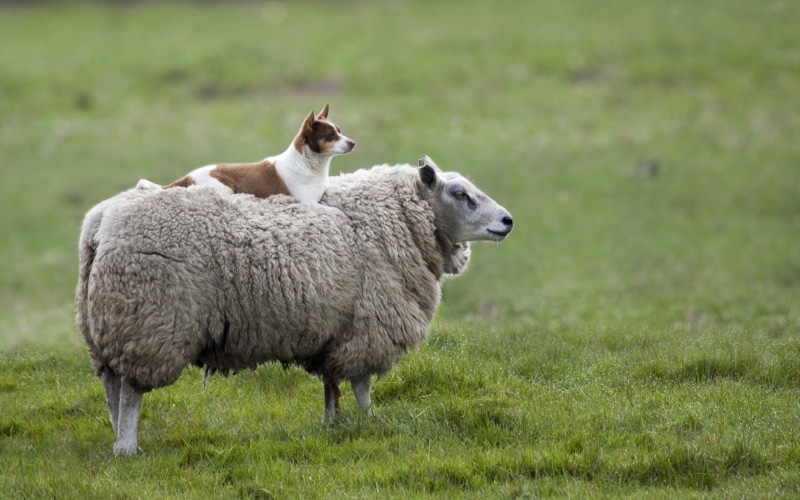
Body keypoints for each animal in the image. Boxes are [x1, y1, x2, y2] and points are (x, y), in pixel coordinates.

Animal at [76, 156, 513, 455]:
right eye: (460, 194)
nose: (508, 221)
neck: (395, 222)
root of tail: (101, 223)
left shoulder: (334, 330)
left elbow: (331, 385)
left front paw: (332, 426)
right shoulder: (369, 326)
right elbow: (361, 385)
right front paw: (371, 421)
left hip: (105, 325)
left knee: (112, 386)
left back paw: (117, 436)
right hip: (148, 321)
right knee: (131, 390)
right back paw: (128, 447)